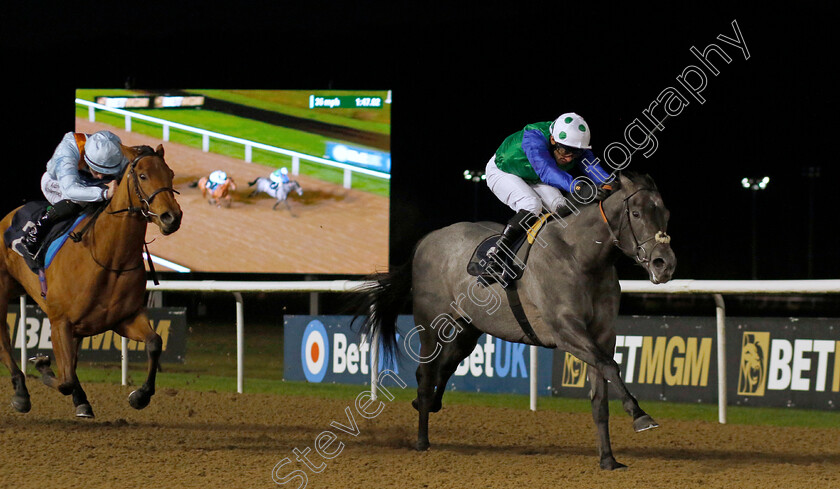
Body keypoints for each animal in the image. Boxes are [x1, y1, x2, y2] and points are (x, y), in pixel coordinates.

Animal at [0, 143, 183, 418]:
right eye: (143, 176)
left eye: (170, 174)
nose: (172, 217)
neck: (109, 259)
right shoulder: (60, 322)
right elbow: (64, 379)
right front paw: (42, 365)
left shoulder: (124, 318)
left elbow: (154, 342)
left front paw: (140, 395)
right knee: (4, 339)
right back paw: (21, 391)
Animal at [358, 172, 680, 468]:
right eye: (636, 213)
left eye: (665, 213)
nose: (664, 263)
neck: (581, 256)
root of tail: (427, 239)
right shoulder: (565, 330)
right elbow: (611, 366)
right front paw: (640, 415)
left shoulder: (602, 335)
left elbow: (600, 394)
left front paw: (608, 460)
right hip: (430, 325)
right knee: (425, 374)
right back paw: (422, 441)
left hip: (467, 329)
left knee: (445, 366)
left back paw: (428, 405)